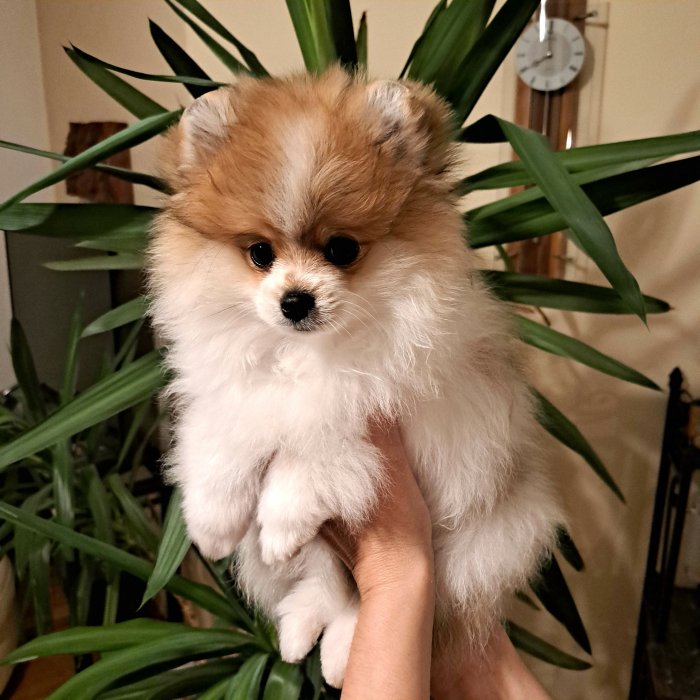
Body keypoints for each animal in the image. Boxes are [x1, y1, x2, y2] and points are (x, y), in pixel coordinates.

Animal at [148, 67, 561, 687]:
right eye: (260, 253)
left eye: (342, 249)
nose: (295, 300)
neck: (305, 353)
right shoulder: (239, 392)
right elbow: (227, 438)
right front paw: (214, 522)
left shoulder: (368, 413)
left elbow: (314, 454)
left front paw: (279, 522)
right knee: (327, 583)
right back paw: (301, 634)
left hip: (470, 545)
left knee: (369, 598)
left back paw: (342, 652)